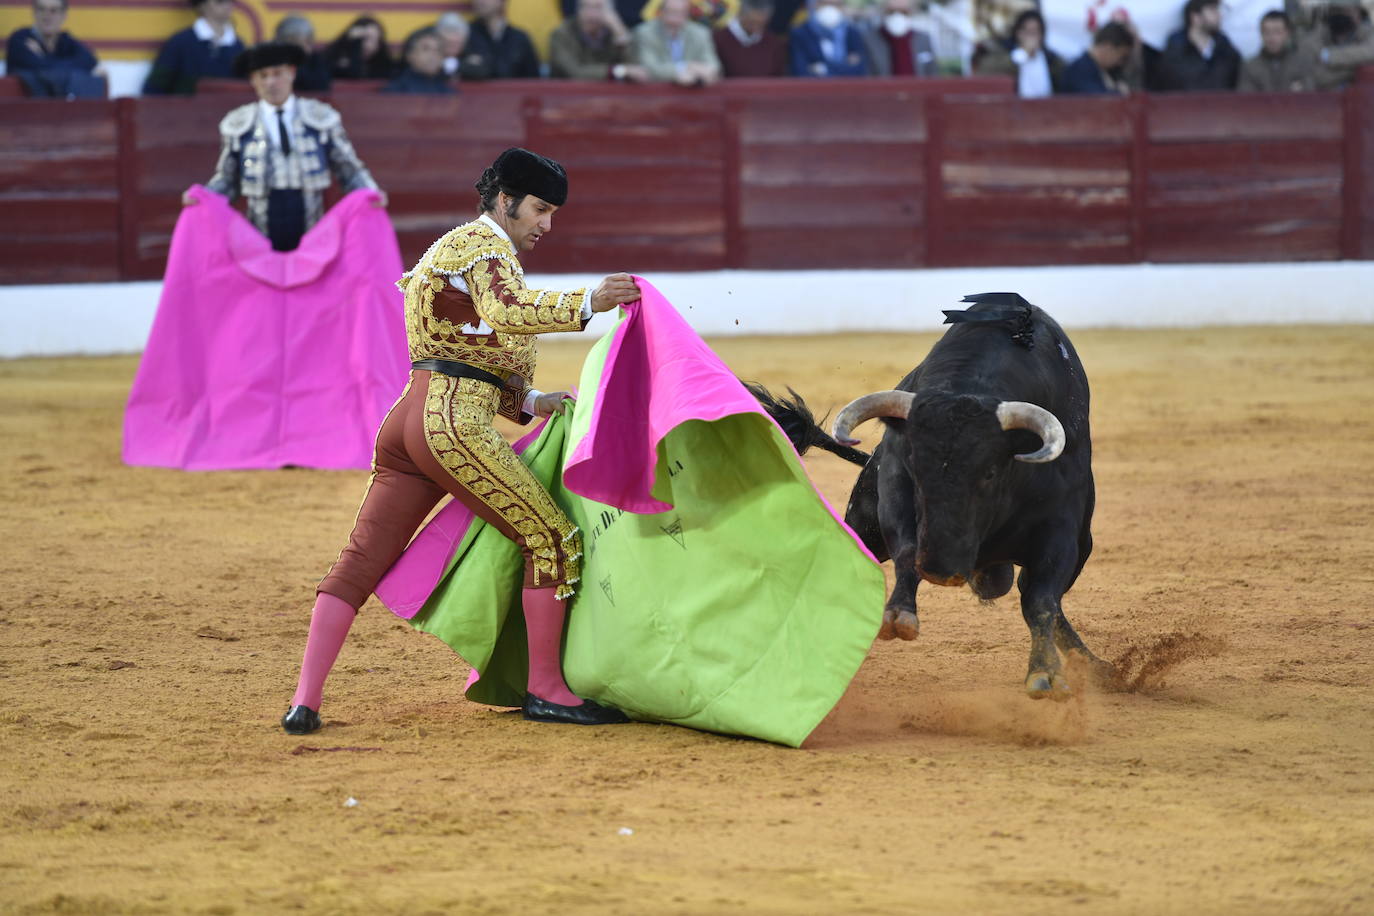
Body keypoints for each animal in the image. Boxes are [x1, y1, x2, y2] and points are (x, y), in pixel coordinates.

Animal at [752, 295, 1115, 703]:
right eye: (915, 466)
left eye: (990, 472)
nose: (942, 570)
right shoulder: (894, 492)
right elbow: (907, 551)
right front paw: (899, 616)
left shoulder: (1062, 532)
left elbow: (1040, 600)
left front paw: (1046, 673)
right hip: (865, 519)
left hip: (1081, 547)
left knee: (1032, 593)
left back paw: (1094, 665)